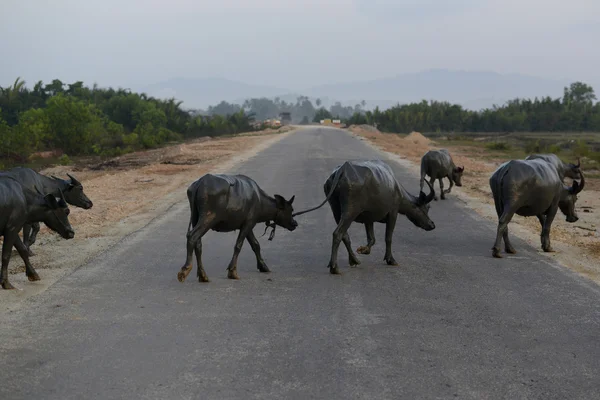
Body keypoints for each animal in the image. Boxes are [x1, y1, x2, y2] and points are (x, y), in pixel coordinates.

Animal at [292, 159, 434, 276]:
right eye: (426, 208)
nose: (432, 224)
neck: (396, 188)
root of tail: (342, 169)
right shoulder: (393, 213)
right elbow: (388, 238)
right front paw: (390, 259)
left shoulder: (368, 219)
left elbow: (372, 239)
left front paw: (363, 250)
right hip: (350, 211)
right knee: (338, 233)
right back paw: (335, 267)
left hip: (336, 210)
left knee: (345, 235)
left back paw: (353, 260)